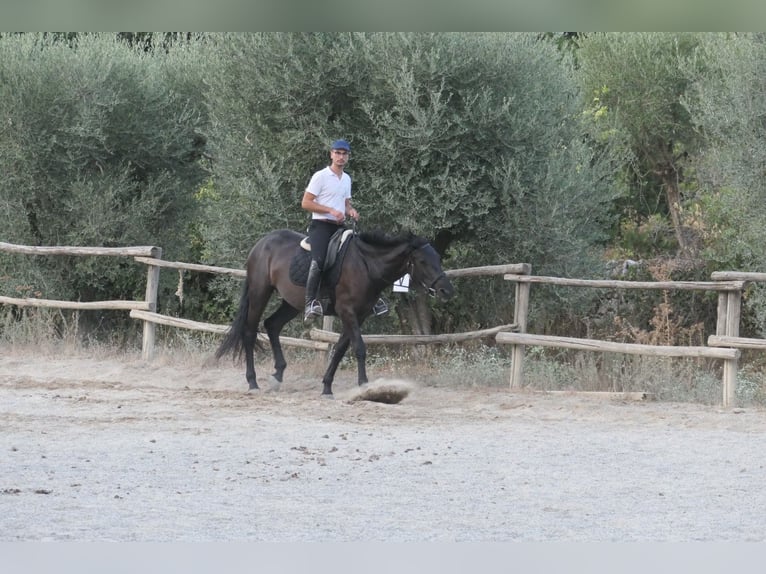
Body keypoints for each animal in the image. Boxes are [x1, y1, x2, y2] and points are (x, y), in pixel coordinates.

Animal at [215, 227, 454, 397]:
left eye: (438, 259)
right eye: (422, 261)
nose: (446, 291)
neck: (366, 265)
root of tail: (262, 243)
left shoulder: (359, 315)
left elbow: (340, 349)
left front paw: (327, 387)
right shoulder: (347, 311)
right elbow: (359, 348)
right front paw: (365, 386)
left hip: (292, 302)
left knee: (272, 325)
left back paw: (278, 375)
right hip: (259, 293)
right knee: (250, 332)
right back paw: (253, 382)